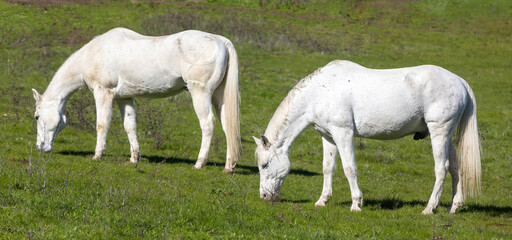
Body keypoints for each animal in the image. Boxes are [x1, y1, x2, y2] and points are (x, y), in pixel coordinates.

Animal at [33, 27, 241, 172]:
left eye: (36, 116)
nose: (39, 147)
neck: (93, 55)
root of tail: (220, 40)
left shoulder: (103, 93)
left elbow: (102, 124)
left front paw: (97, 155)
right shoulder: (124, 98)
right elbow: (129, 126)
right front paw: (134, 158)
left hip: (200, 93)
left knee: (207, 124)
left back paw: (199, 163)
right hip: (219, 98)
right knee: (227, 126)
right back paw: (228, 166)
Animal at [254, 60, 482, 214]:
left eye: (264, 165)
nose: (264, 196)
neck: (319, 92)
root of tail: (461, 82)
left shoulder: (343, 133)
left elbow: (349, 168)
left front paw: (356, 203)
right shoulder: (328, 137)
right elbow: (327, 168)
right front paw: (322, 201)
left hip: (438, 132)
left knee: (442, 168)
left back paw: (429, 208)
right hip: (446, 135)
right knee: (455, 166)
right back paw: (454, 206)